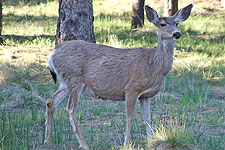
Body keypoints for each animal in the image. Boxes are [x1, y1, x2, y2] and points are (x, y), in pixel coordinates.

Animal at [44, 3, 193, 149]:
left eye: (177, 23)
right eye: (162, 24)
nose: (177, 34)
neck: (154, 67)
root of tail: (52, 54)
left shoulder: (145, 95)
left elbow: (148, 118)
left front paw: (151, 142)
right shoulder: (131, 88)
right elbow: (130, 117)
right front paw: (126, 144)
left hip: (66, 82)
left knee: (50, 101)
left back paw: (48, 140)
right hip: (75, 78)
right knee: (70, 109)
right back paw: (84, 144)